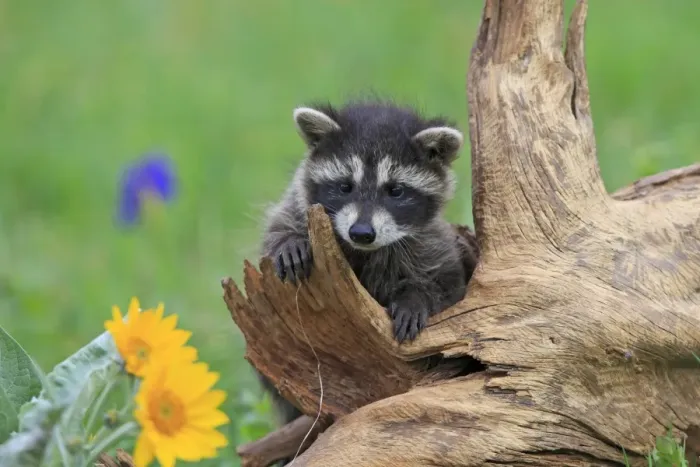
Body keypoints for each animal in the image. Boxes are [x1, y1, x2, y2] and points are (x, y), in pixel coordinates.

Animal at [257, 100, 476, 461]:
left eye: (396, 191)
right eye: (345, 186)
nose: (361, 233)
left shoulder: (434, 244)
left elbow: (446, 286)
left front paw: (416, 298)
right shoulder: (294, 208)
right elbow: (277, 230)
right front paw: (289, 242)